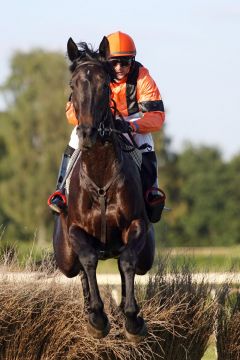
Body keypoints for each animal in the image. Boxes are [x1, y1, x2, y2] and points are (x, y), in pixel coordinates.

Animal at [52, 37, 156, 344]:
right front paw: (97, 317)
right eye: (73, 85)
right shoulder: (74, 229)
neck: (100, 175)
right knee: (79, 269)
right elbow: (88, 261)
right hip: (64, 257)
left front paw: (132, 318)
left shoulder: (136, 224)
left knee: (128, 262)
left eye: (104, 86)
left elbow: (127, 262)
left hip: (147, 253)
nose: (88, 134)